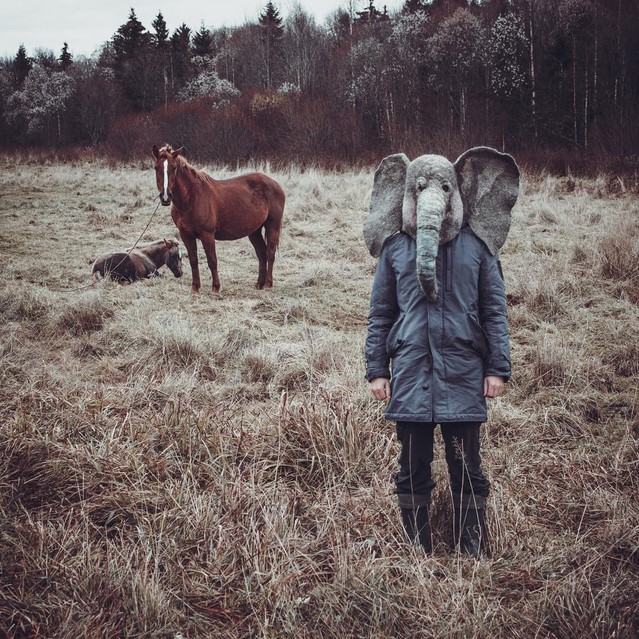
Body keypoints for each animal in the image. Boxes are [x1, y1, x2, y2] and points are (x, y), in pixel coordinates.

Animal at [152, 144, 284, 294]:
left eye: (174, 167)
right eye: (156, 167)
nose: (166, 197)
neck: (191, 198)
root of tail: (275, 184)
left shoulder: (207, 235)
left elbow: (212, 260)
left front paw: (215, 288)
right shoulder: (186, 235)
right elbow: (193, 260)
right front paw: (195, 288)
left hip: (272, 225)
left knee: (270, 253)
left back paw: (268, 284)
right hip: (254, 231)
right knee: (261, 253)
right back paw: (259, 284)